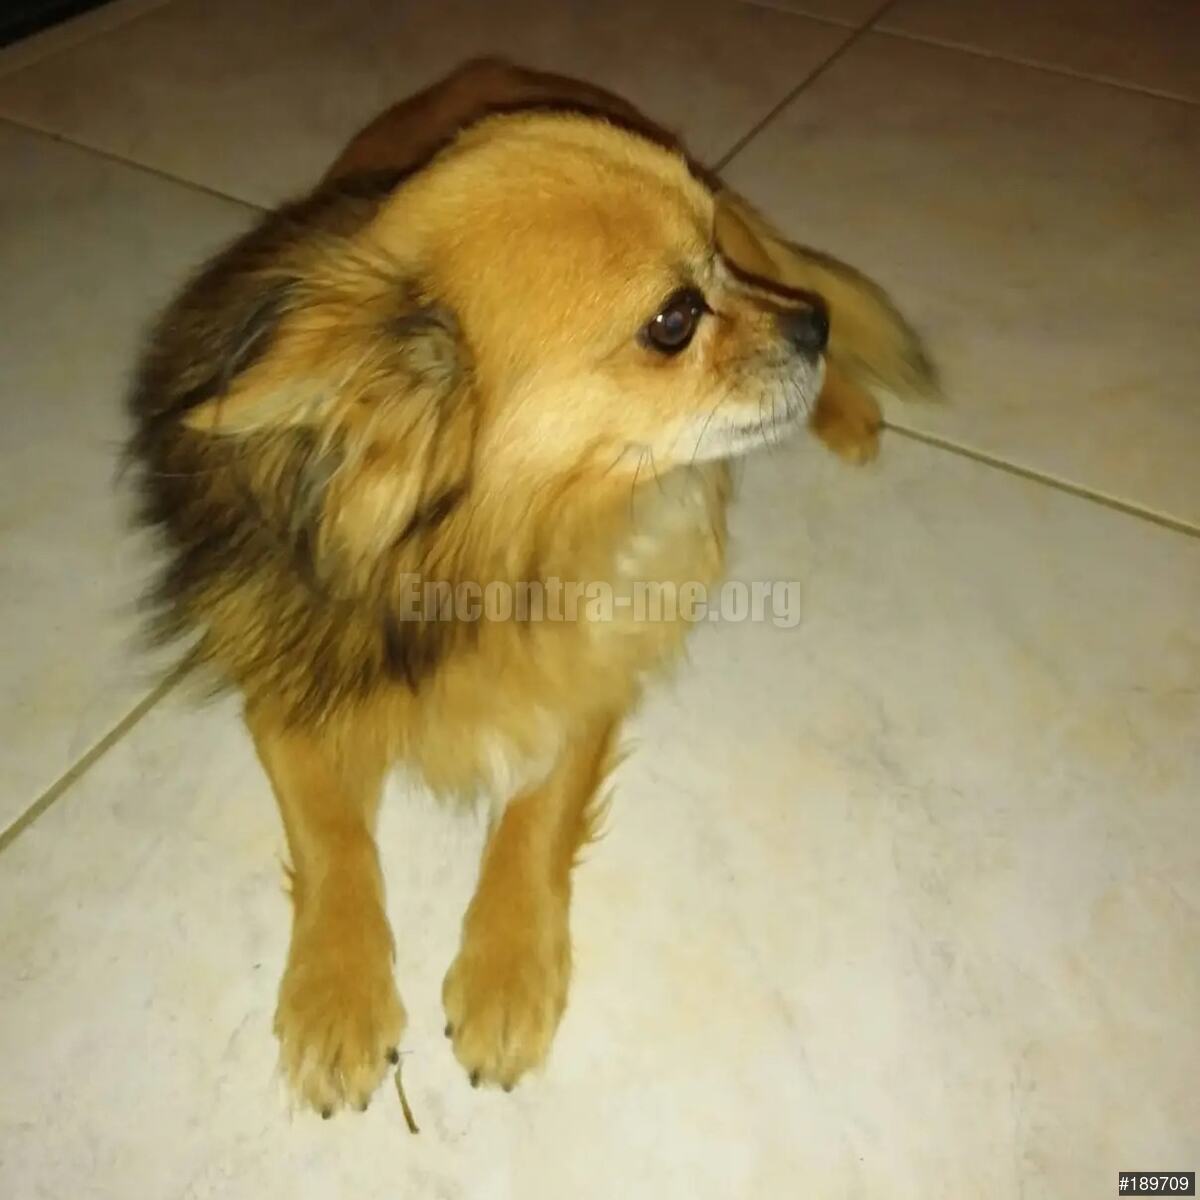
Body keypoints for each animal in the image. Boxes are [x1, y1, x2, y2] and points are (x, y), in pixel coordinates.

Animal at [126, 59, 936, 1116]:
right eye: (675, 322)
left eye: (711, 266)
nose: (813, 325)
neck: (494, 556)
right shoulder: (286, 688)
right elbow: (335, 838)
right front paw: (337, 995)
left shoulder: (592, 670)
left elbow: (534, 819)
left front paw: (506, 973)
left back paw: (847, 414)